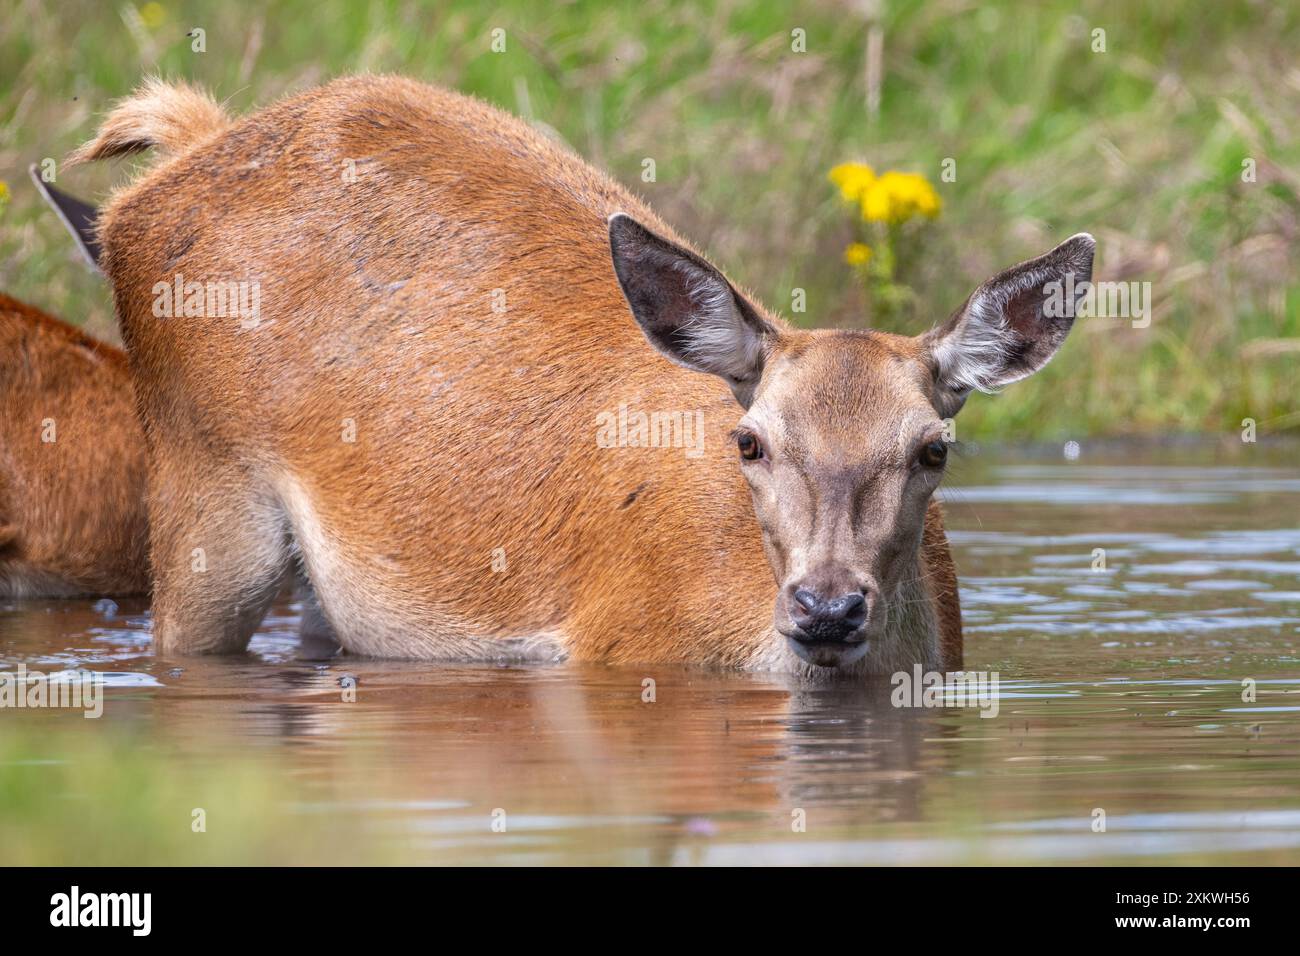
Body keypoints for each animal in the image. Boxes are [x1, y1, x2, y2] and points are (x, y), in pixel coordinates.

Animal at [72, 75, 1093, 676]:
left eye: (933, 449)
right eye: (751, 442)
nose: (827, 607)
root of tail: (135, 198)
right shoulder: (610, 648)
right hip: (203, 494)